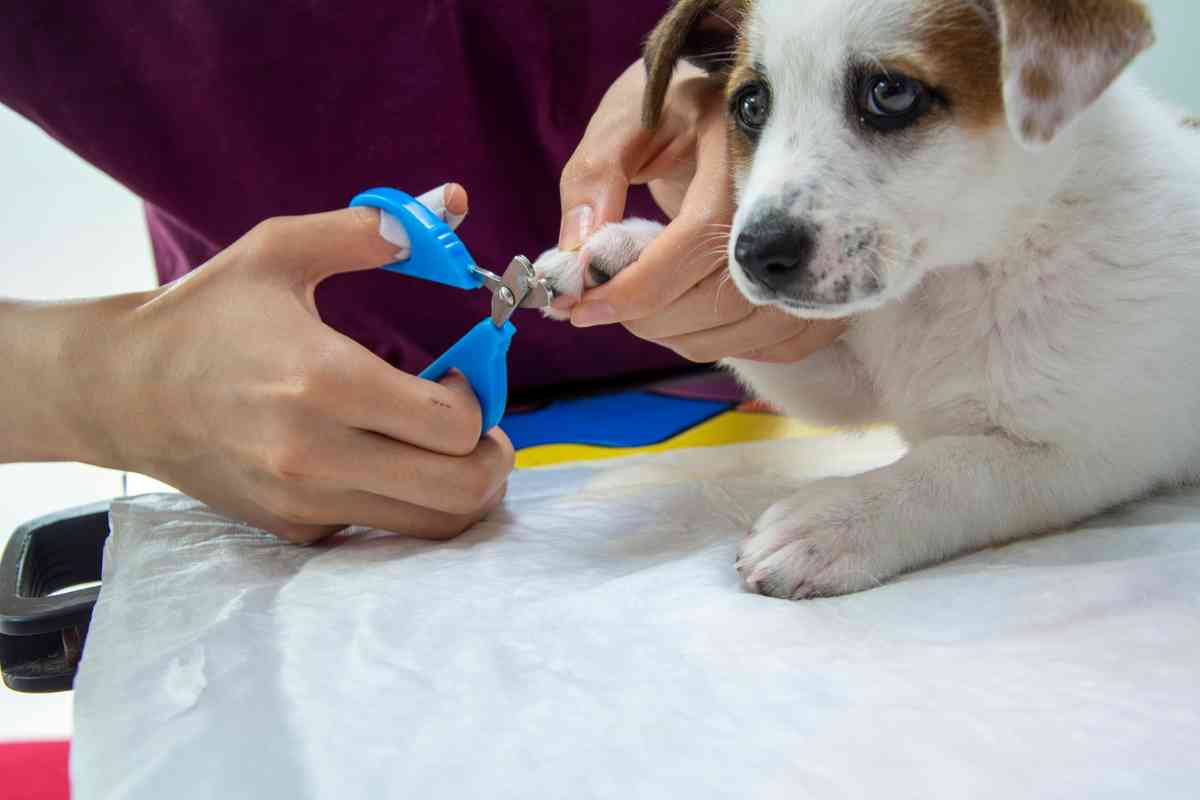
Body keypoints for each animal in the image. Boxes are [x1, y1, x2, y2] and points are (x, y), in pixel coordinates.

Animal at [540, 0, 1200, 599]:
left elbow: (954, 472)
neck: (962, 273)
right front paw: (623, 247)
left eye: (890, 93)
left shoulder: (1087, 452)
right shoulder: (846, 375)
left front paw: (835, 519)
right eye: (751, 105)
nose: (754, 254)